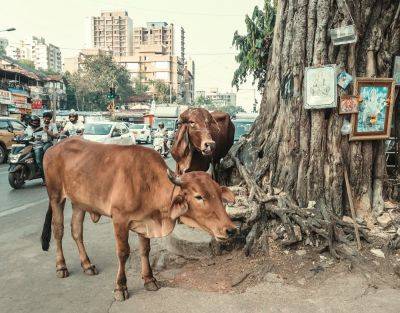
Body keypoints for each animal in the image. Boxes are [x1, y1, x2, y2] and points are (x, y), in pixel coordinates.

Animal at [40, 138, 236, 300]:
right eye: (198, 196)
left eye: (219, 194)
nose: (231, 229)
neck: (147, 184)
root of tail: (53, 147)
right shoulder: (119, 219)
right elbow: (123, 252)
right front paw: (120, 287)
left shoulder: (145, 221)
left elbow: (145, 250)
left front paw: (149, 279)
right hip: (56, 197)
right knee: (58, 231)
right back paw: (61, 266)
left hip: (79, 204)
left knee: (76, 231)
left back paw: (87, 265)